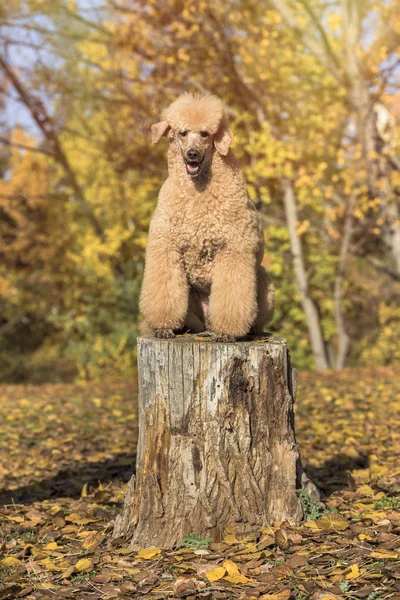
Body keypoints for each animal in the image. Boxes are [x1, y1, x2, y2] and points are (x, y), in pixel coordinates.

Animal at [139, 91, 274, 340]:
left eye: (205, 134)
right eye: (182, 133)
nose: (192, 154)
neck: (196, 190)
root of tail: (205, 323)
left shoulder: (233, 248)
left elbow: (231, 294)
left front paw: (228, 332)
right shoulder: (166, 245)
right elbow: (165, 288)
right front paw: (163, 327)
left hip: (264, 282)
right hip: (192, 311)